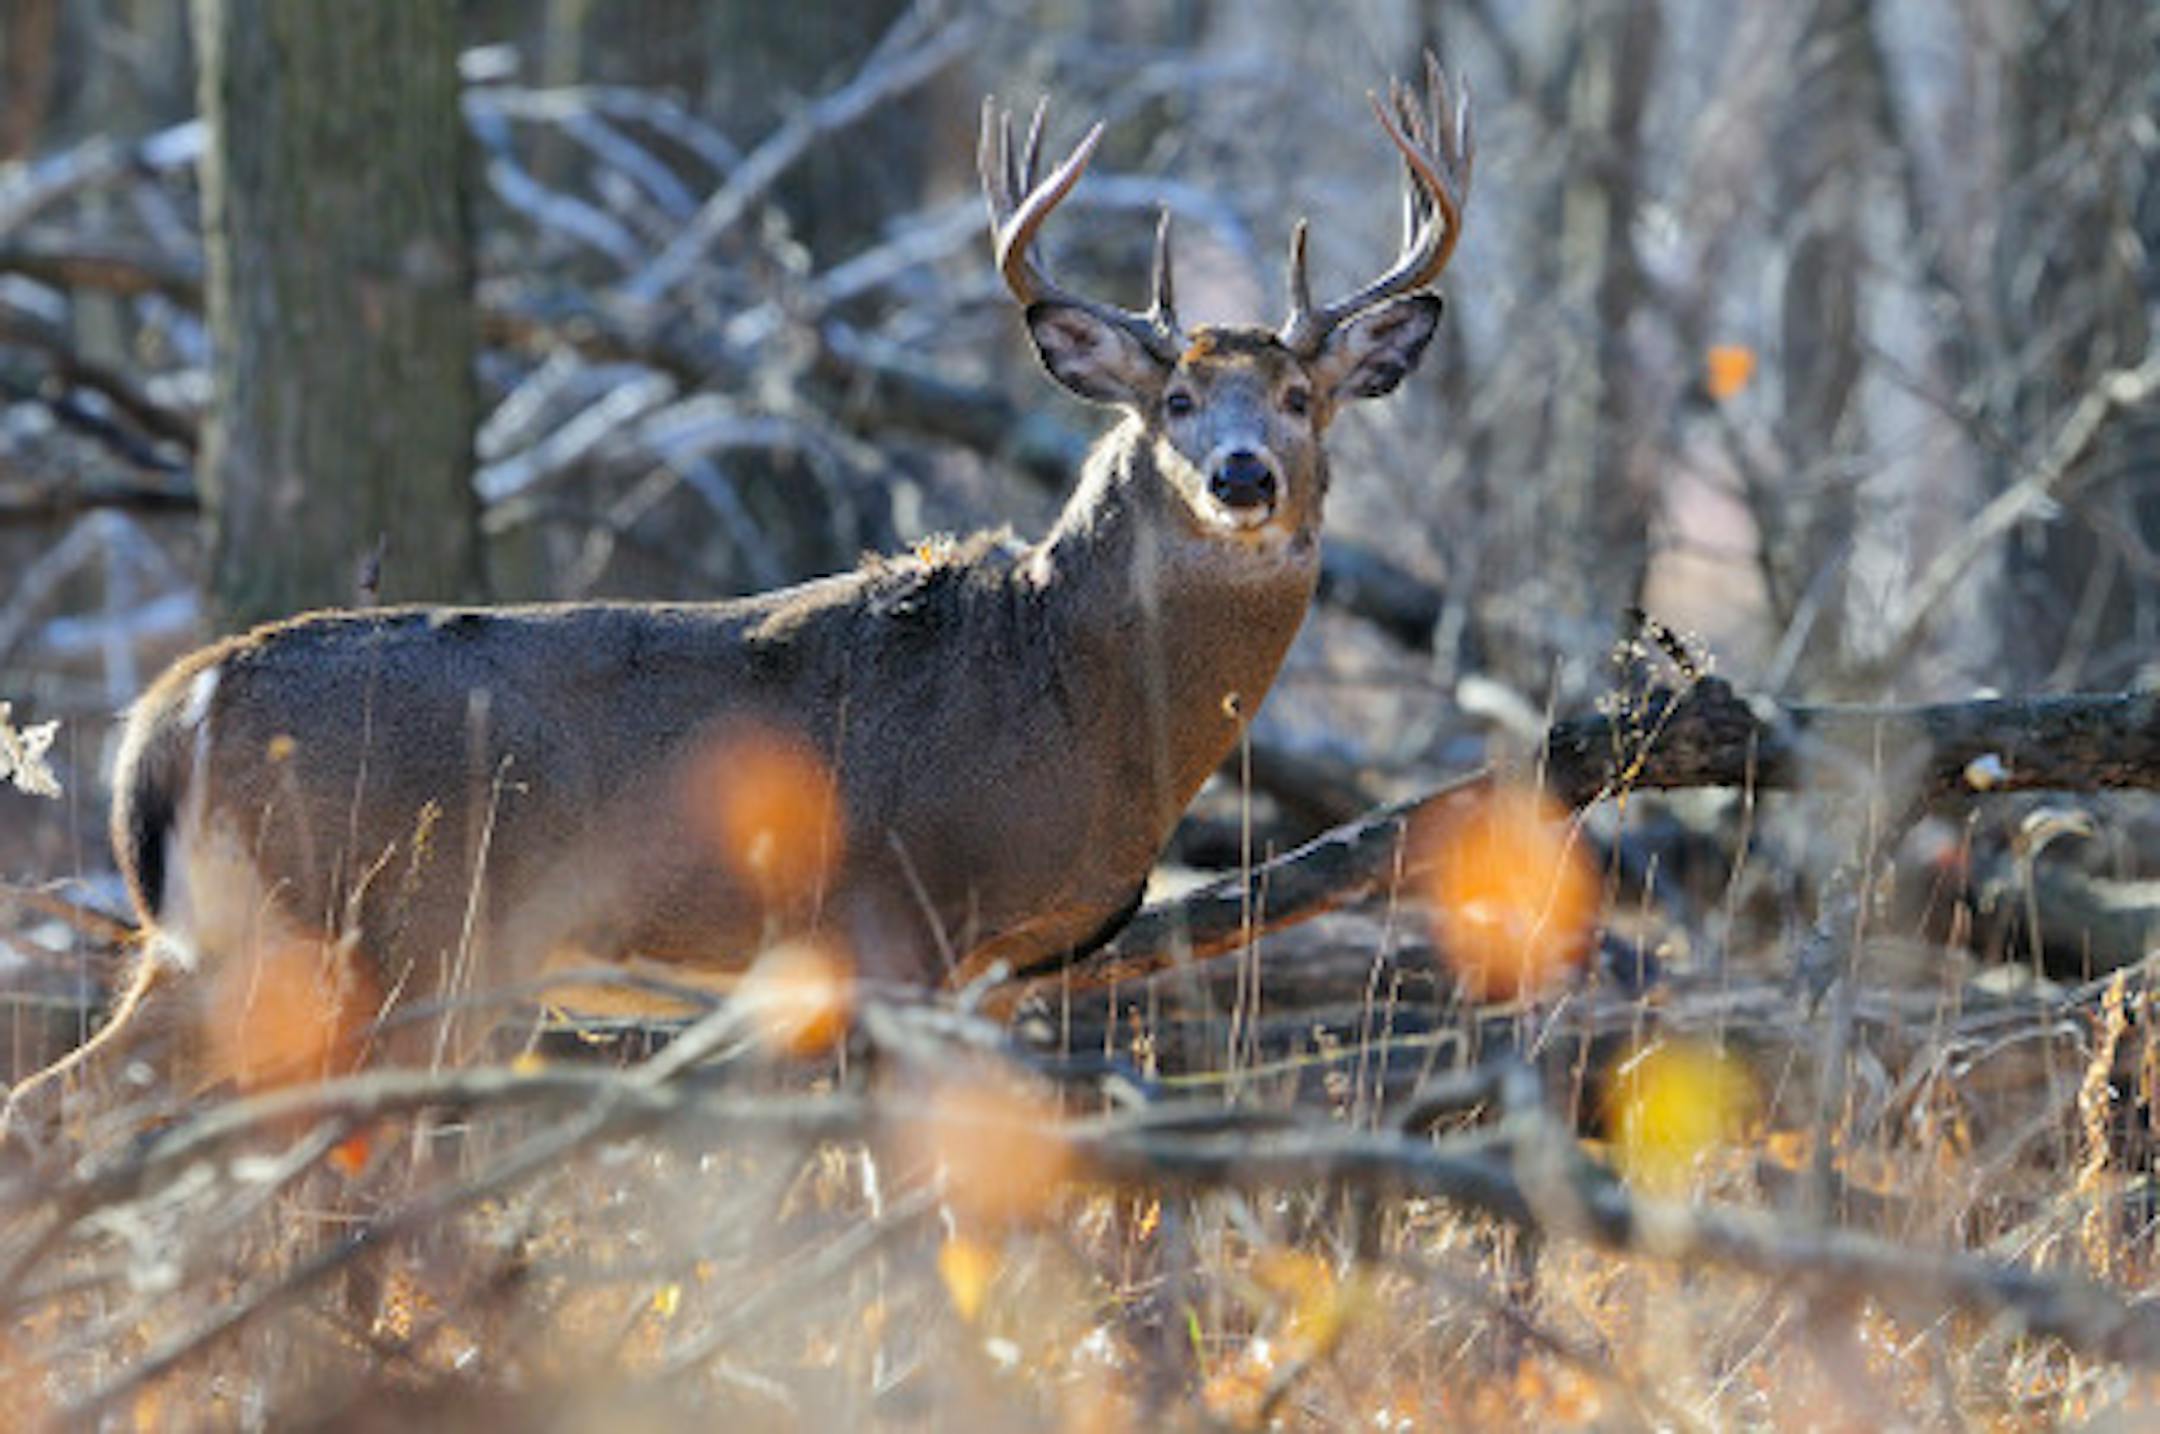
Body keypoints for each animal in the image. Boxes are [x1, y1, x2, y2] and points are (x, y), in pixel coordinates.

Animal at [10, 59, 1471, 1121]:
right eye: (1173, 400)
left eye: (1301, 397)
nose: (1242, 475)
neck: (1075, 698)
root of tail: (167, 713)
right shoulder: (893, 917)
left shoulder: (990, 973)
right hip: (370, 934)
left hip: (232, 944)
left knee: (68, 1104)